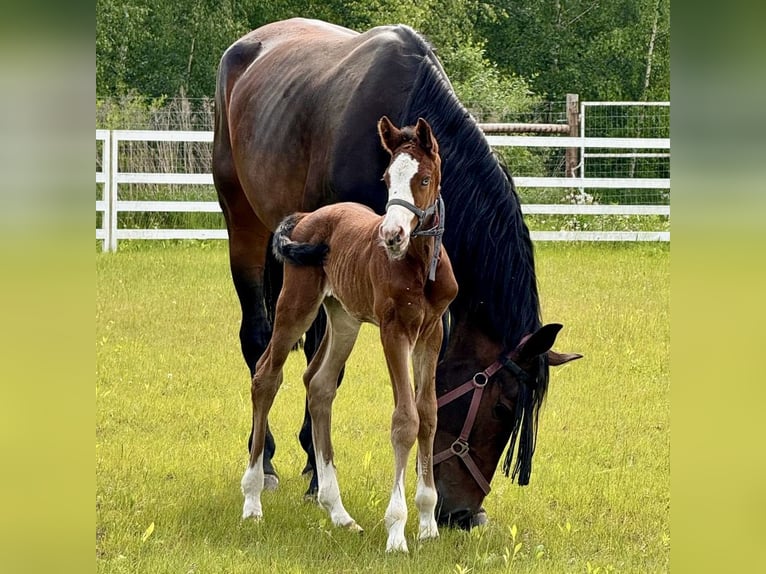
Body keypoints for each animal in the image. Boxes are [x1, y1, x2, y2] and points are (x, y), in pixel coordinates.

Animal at [242, 117, 456, 552]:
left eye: (424, 179)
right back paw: (252, 498)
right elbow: (405, 419)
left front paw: (428, 523)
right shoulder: (394, 331)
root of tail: (307, 216)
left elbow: (428, 414)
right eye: (387, 178)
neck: (419, 264)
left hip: (343, 318)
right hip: (296, 304)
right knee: (267, 375)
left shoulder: (430, 334)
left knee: (319, 384)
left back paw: (338, 512)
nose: (391, 235)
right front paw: (397, 531)